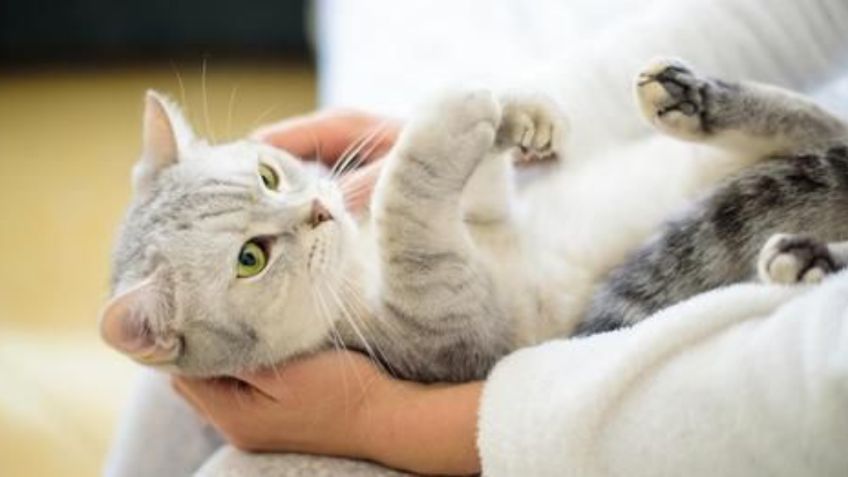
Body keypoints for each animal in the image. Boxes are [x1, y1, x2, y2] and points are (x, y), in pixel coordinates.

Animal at [101, 56, 848, 384]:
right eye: (250, 257)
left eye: (267, 175)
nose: (316, 208)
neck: (356, 260)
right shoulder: (451, 331)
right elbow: (409, 212)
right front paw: (447, 118)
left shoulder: (488, 213)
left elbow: (484, 186)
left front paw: (522, 115)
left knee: (820, 124)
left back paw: (691, 101)